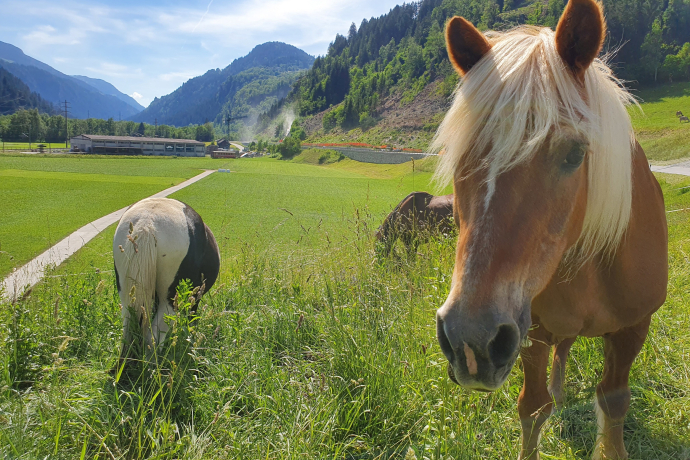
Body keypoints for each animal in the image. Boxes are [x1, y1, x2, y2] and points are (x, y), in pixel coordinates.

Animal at [113, 197, 220, 364]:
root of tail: (147, 224)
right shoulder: (195, 298)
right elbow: (192, 319)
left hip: (127, 297)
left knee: (128, 333)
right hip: (170, 300)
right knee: (153, 337)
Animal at [432, 1, 667, 459]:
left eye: (575, 154)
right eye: (457, 159)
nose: (470, 340)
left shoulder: (633, 329)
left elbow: (613, 402)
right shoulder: (530, 331)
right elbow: (533, 406)